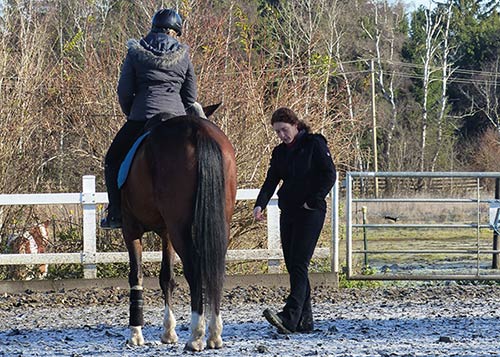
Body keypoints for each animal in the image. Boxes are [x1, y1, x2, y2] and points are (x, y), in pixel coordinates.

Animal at [121, 105, 238, 350]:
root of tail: (197, 129)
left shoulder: (131, 228)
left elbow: (136, 275)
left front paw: (135, 333)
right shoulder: (166, 232)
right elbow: (167, 277)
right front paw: (168, 331)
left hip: (178, 228)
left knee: (194, 271)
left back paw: (195, 336)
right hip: (215, 225)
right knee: (215, 270)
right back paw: (214, 334)